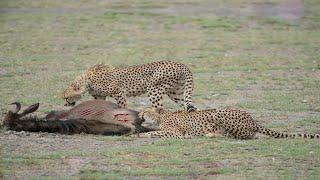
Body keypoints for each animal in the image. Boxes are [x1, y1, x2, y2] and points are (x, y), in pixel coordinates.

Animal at [60, 61, 195, 112]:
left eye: (66, 97)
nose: (65, 104)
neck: (87, 81)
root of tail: (181, 64)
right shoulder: (100, 96)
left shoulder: (119, 92)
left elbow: (122, 106)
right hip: (175, 93)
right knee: (188, 106)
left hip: (153, 89)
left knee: (160, 108)